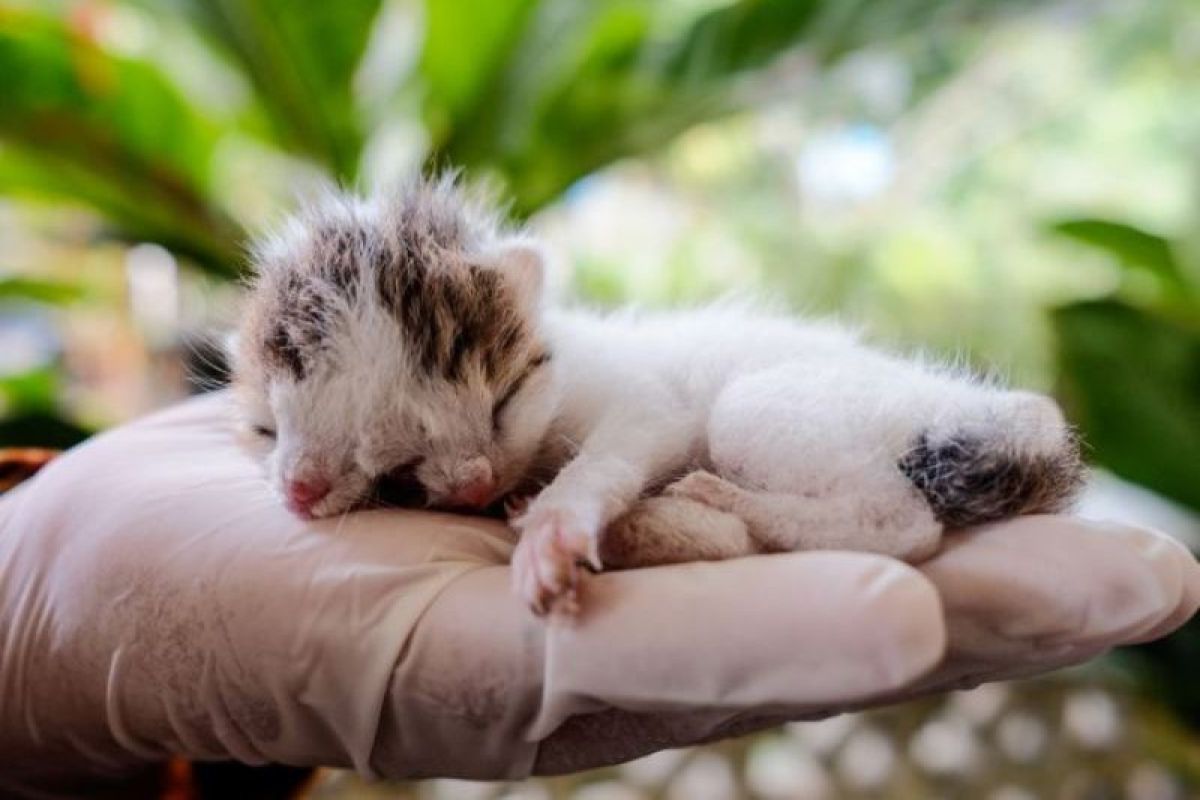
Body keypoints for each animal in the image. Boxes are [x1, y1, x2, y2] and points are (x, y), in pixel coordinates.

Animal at [229, 173, 1084, 614]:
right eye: (268, 429)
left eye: (502, 404)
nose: (475, 483)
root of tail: (1016, 422)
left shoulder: (644, 404)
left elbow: (611, 453)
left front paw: (553, 531)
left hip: (772, 410)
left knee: (905, 524)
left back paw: (720, 502)